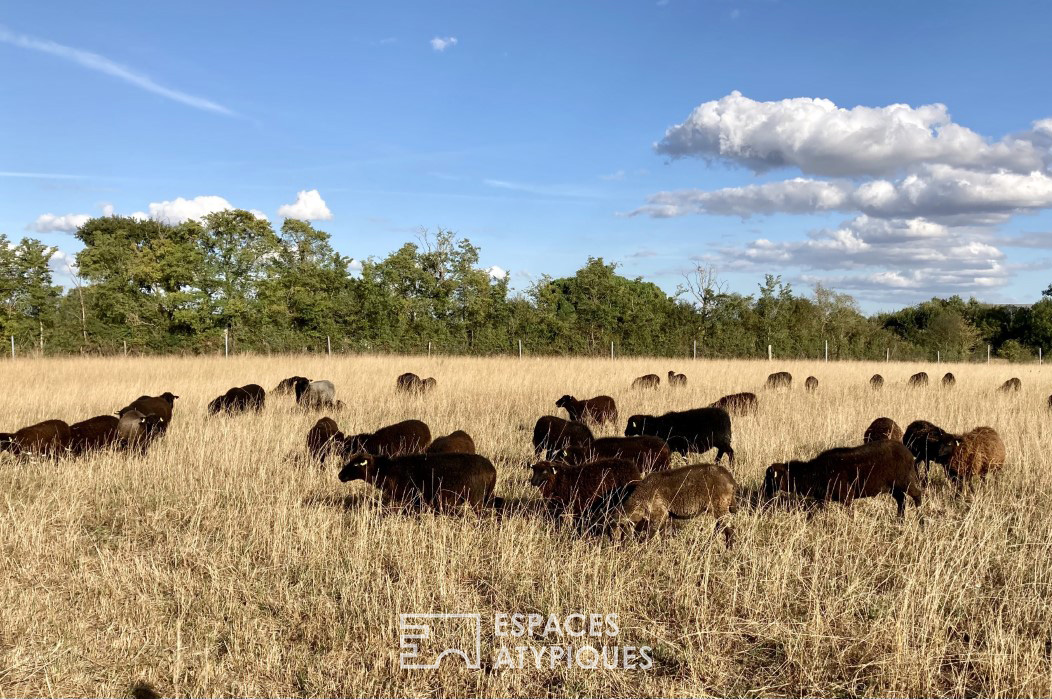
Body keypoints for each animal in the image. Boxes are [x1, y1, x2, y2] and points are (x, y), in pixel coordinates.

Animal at [340, 450, 496, 511]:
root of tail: (492, 470)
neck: (387, 470)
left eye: (356, 465)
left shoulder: (411, 499)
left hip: (476, 499)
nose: (339, 475)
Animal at [765, 442, 921, 517]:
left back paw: (921, 521)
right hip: (894, 487)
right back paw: (900, 520)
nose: (765, 493)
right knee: (901, 501)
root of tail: (909, 454)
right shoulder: (823, 499)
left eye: (769, 479)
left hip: (905, 482)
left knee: (917, 495)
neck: (814, 473)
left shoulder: (846, 496)